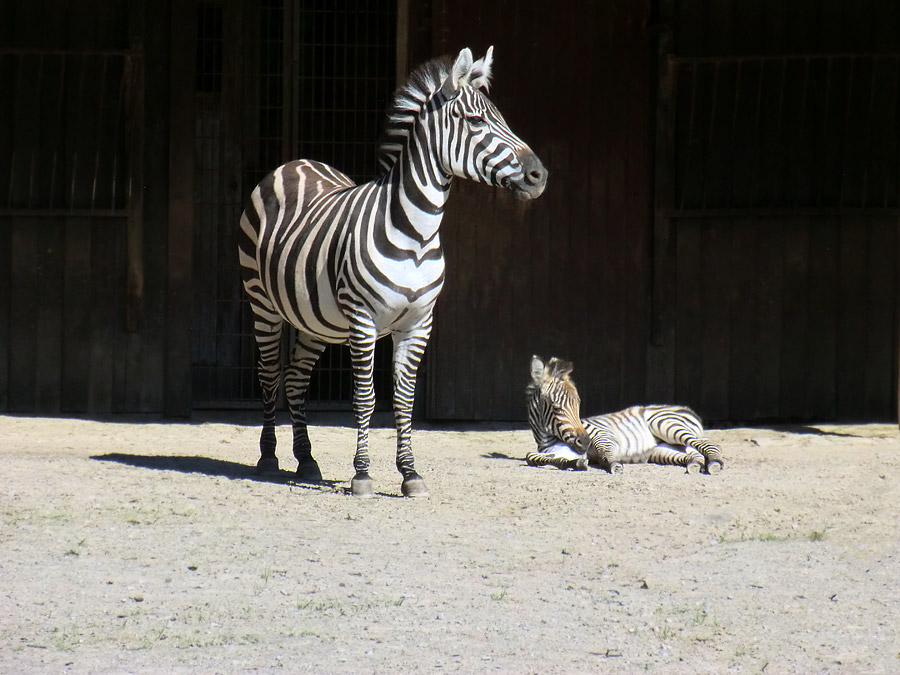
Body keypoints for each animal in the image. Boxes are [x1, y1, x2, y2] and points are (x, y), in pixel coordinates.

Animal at [239, 47, 544, 500]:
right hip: (263, 303)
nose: (540, 175)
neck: (416, 233)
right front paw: (362, 474)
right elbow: (366, 399)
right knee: (269, 375)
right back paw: (268, 457)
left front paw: (409, 473)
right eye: (476, 121)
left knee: (294, 379)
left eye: (502, 118)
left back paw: (306, 460)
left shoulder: (418, 323)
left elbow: (404, 401)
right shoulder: (363, 319)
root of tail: (296, 162)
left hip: (316, 318)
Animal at [528, 354, 724, 476]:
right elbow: (533, 458)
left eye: (578, 405)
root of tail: (685, 408)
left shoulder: (601, 434)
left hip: (666, 424)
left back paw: (714, 462)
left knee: (710, 445)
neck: (551, 439)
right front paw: (572, 464)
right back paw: (695, 465)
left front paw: (614, 464)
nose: (584, 442)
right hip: (664, 450)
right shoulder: (554, 453)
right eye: (555, 406)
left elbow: (605, 451)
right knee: (695, 454)